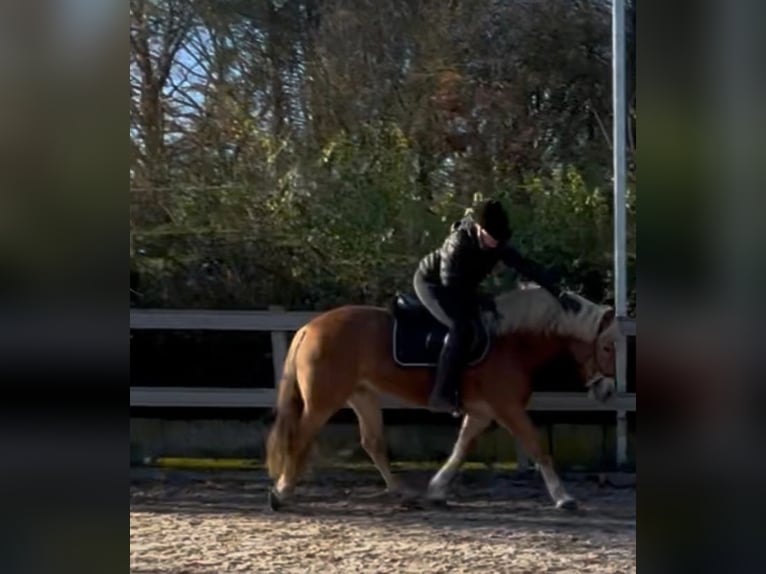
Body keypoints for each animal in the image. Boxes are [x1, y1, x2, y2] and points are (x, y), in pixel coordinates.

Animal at [268, 288, 620, 512]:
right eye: (606, 347)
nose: (608, 391)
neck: (511, 342)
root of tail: (309, 327)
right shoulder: (509, 409)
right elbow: (538, 447)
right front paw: (564, 498)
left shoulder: (482, 414)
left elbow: (461, 449)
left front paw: (437, 491)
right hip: (323, 402)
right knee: (300, 438)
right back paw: (282, 493)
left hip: (361, 396)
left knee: (373, 443)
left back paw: (403, 493)